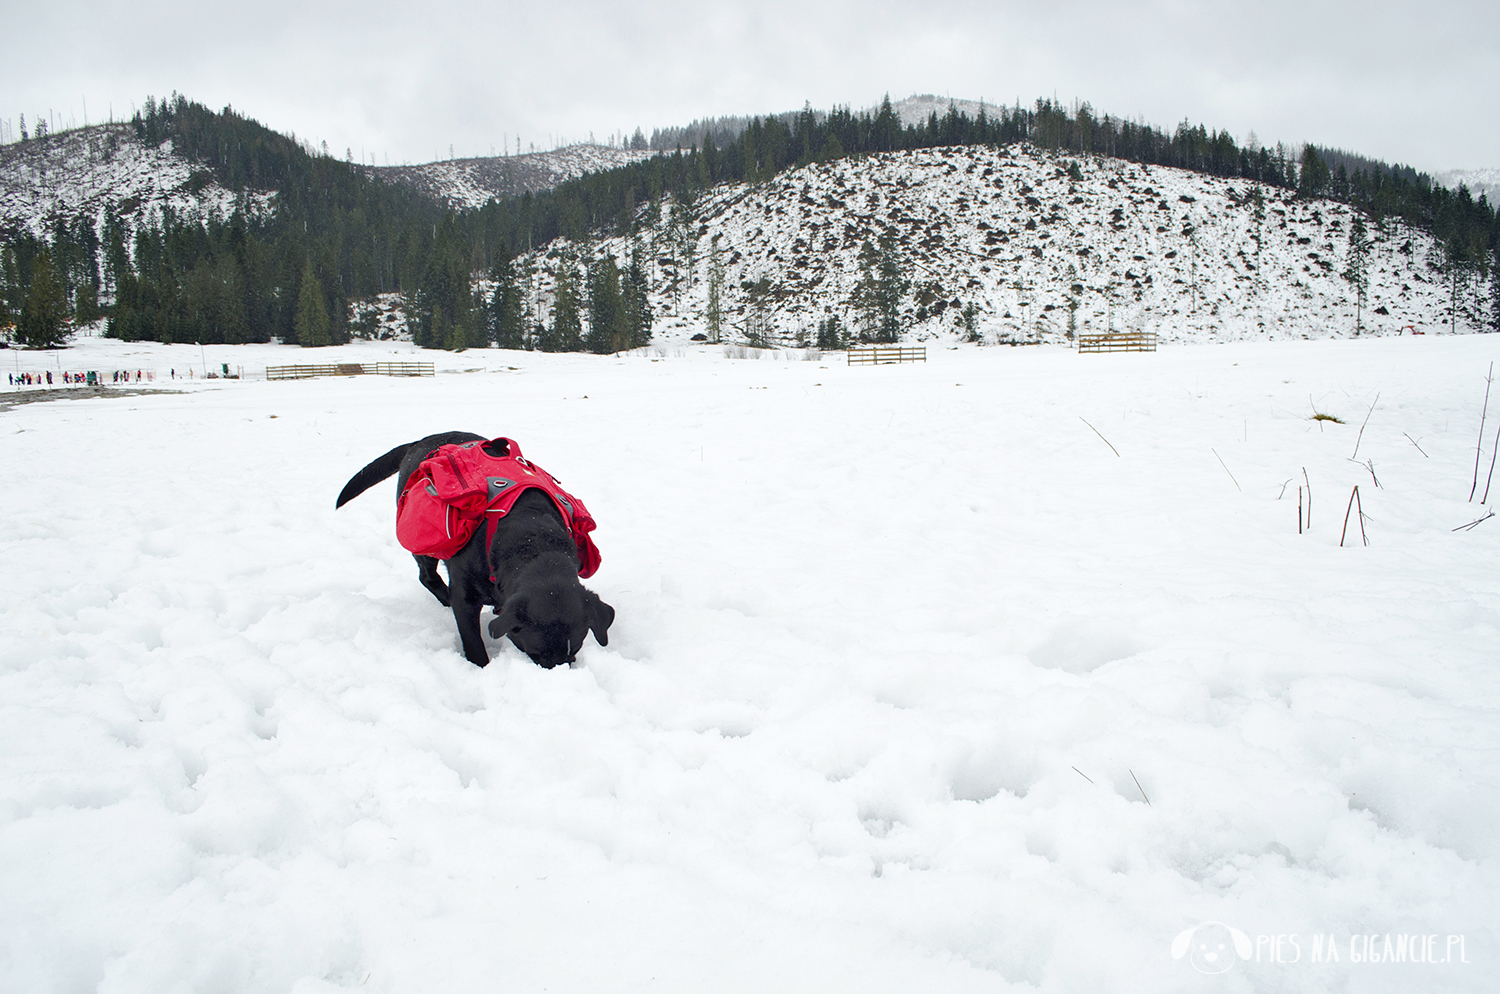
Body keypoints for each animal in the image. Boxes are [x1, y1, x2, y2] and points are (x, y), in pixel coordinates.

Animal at [337, 434, 612, 668]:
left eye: (575, 649)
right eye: (534, 652)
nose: (558, 671)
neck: (531, 539)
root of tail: (419, 441)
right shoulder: (465, 594)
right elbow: (472, 638)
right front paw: (480, 667)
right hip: (421, 540)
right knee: (426, 575)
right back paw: (444, 597)